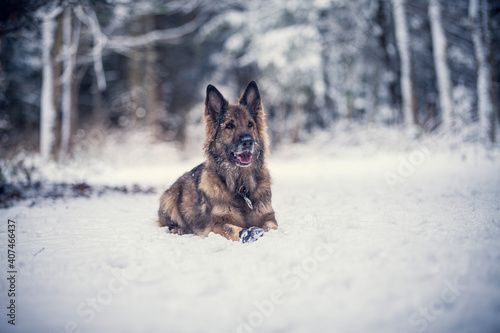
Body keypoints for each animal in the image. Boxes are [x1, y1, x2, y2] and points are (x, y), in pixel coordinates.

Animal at [158, 80, 278, 241]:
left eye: (250, 124)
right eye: (229, 126)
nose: (248, 142)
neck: (240, 185)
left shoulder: (268, 217)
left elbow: (274, 228)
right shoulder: (217, 224)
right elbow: (235, 230)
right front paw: (248, 234)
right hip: (169, 198)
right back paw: (178, 229)